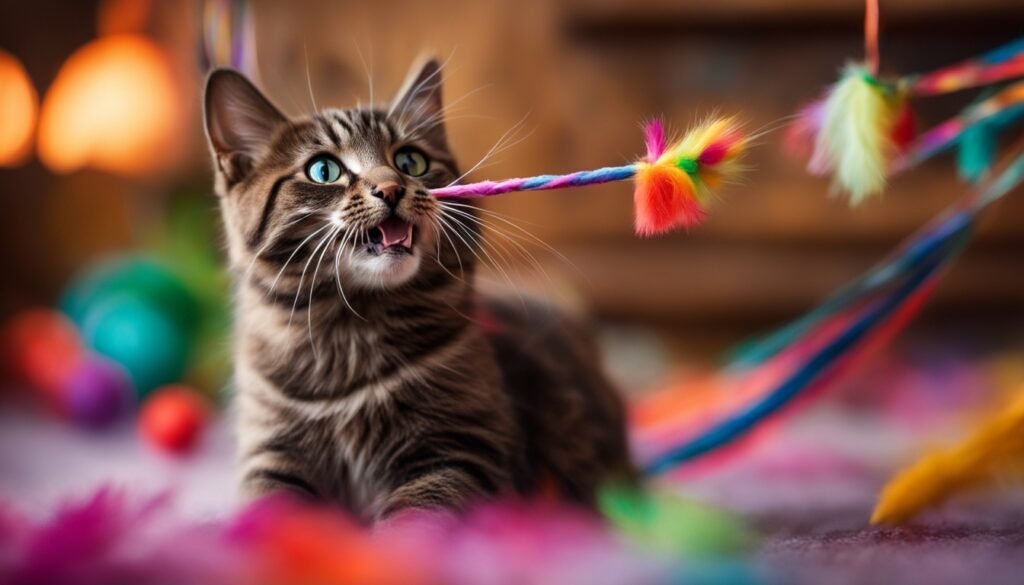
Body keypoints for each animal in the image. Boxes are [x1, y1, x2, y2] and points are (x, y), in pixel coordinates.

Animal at [201, 57, 630, 524]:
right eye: (323, 170)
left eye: (411, 161)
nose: (391, 188)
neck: (351, 329)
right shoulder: (271, 452)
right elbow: (268, 508)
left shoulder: (460, 450)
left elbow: (416, 520)